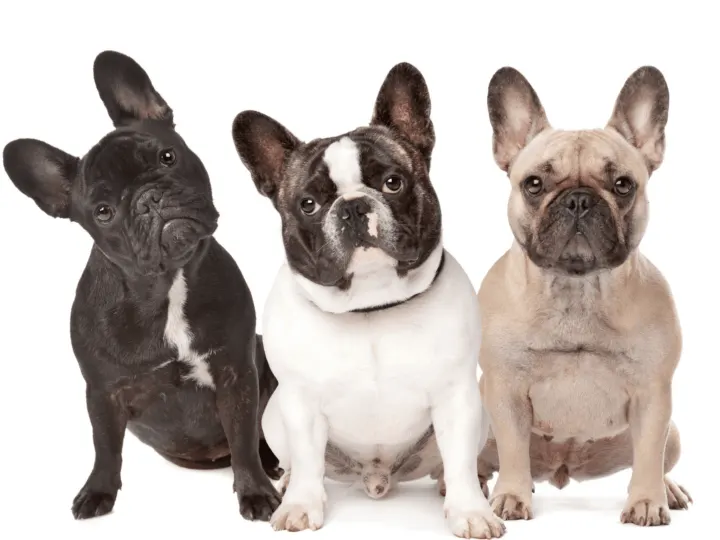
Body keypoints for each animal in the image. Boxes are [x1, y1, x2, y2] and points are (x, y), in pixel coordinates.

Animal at [4, 51, 282, 524]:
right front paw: (98, 492)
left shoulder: (237, 374)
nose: (148, 198)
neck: (166, 283)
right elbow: (105, 448)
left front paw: (255, 491)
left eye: (167, 156)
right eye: (102, 211)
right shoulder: (102, 392)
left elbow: (245, 437)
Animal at [231, 62, 506, 536]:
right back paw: (286, 483)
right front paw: (300, 504)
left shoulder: (457, 397)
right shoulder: (300, 403)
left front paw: (470, 511)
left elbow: (458, 460)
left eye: (392, 183)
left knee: (453, 462)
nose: (353, 206)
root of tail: (377, 477)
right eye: (308, 204)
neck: (369, 308)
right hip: (273, 416)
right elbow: (307, 460)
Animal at [472, 64, 692, 528]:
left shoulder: (653, 394)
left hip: (675, 433)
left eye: (623, 184)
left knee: (656, 458)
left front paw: (647, 503)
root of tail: (562, 468)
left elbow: (649, 453)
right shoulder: (504, 391)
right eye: (534, 184)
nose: (578, 200)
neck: (576, 288)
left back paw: (666, 490)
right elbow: (513, 451)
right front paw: (511, 496)